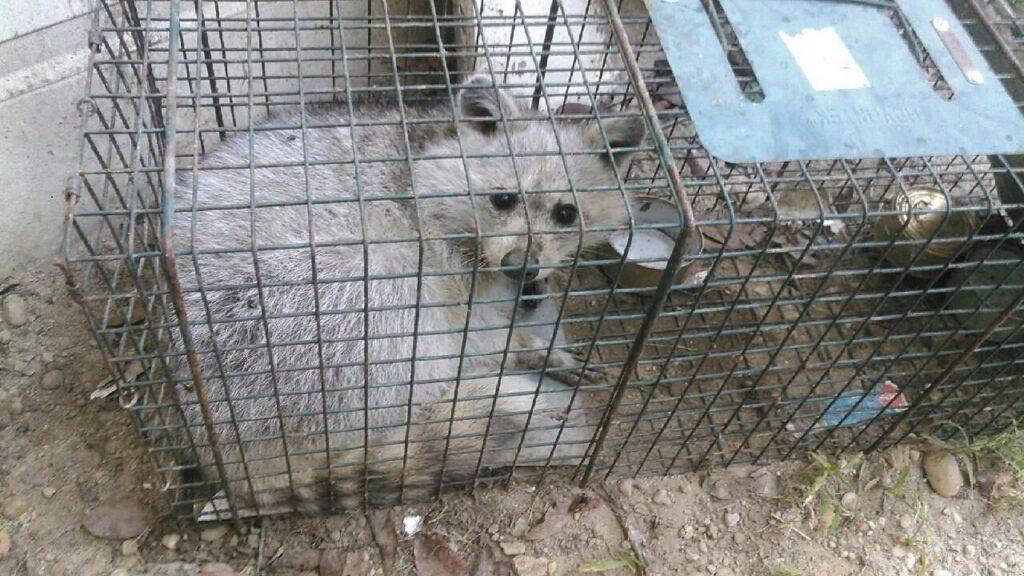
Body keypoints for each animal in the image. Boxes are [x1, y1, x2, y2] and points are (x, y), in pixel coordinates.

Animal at [171, 74, 646, 513]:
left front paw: (537, 300)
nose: (521, 266)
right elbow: (476, 326)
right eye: (504, 199)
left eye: (566, 213)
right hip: (305, 311)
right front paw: (528, 346)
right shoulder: (439, 252)